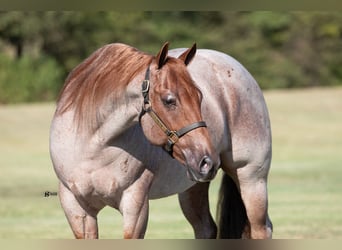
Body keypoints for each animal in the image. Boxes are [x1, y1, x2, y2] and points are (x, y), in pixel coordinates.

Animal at [49, 42, 272, 239]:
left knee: (261, 228)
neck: (94, 148)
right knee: (206, 228)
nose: (208, 161)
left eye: (199, 97)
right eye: (169, 100)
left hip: (251, 178)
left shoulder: (135, 205)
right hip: (192, 186)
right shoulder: (76, 208)